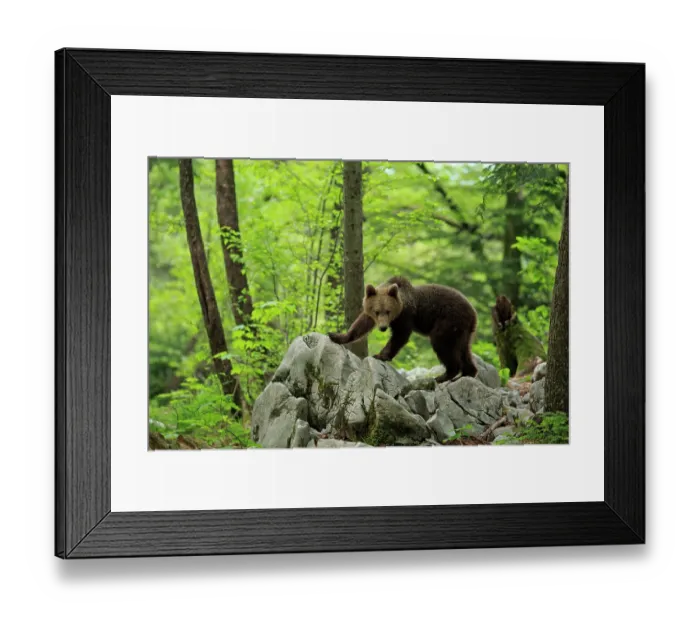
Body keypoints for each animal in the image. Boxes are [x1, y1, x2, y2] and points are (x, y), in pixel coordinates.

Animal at [328, 276, 479, 383]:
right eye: (377, 311)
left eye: (388, 311)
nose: (383, 327)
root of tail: (473, 312)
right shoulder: (372, 315)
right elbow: (361, 324)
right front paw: (335, 336)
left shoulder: (405, 315)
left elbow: (400, 335)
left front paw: (380, 355)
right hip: (463, 330)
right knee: (464, 349)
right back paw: (468, 372)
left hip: (448, 320)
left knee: (441, 343)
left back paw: (445, 375)